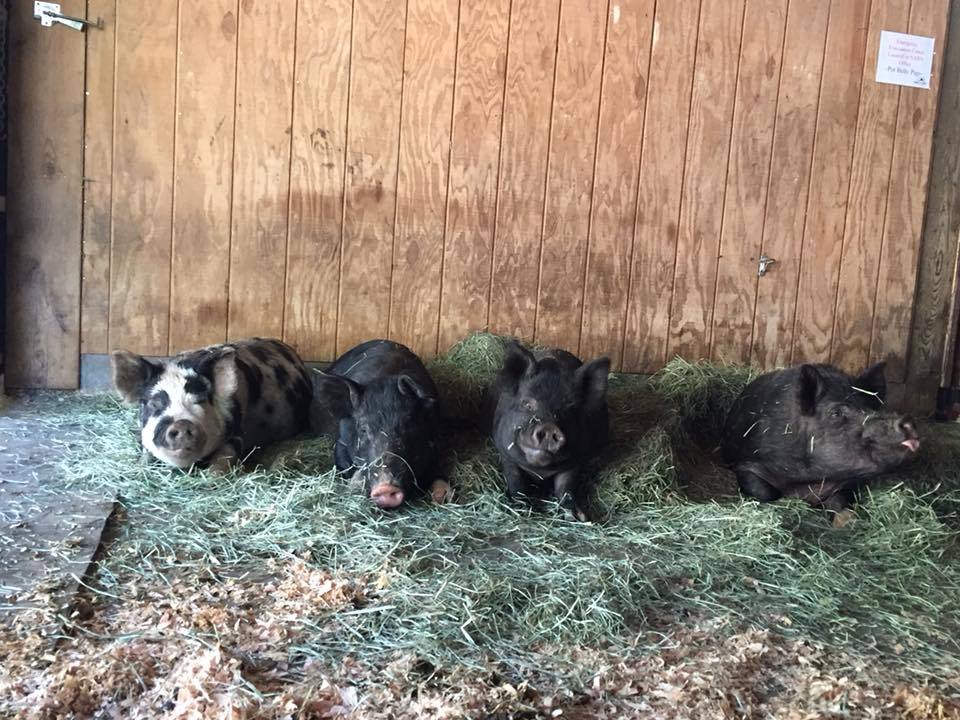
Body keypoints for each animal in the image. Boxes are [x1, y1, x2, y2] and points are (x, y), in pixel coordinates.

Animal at [112, 338, 312, 472]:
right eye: (154, 403)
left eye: (199, 400)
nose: (181, 423)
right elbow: (145, 454)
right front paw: (138, 467)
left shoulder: (237, 433)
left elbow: (223, 459)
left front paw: (213, 478)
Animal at [486, 340, 611, 521]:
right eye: (527, 404)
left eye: (569, 410)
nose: (549, 427)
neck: (540, 472)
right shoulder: (505, 453)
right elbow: (515, 480)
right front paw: (520, 508)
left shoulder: (574, 462)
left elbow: (566, 487)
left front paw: (578, 516)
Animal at [721, 362, 920, 522]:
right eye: (836, 413)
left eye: (874, 408)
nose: (907, 421)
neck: (811, 478)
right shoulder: (747, 464)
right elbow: (764, 491)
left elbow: (841, 502)